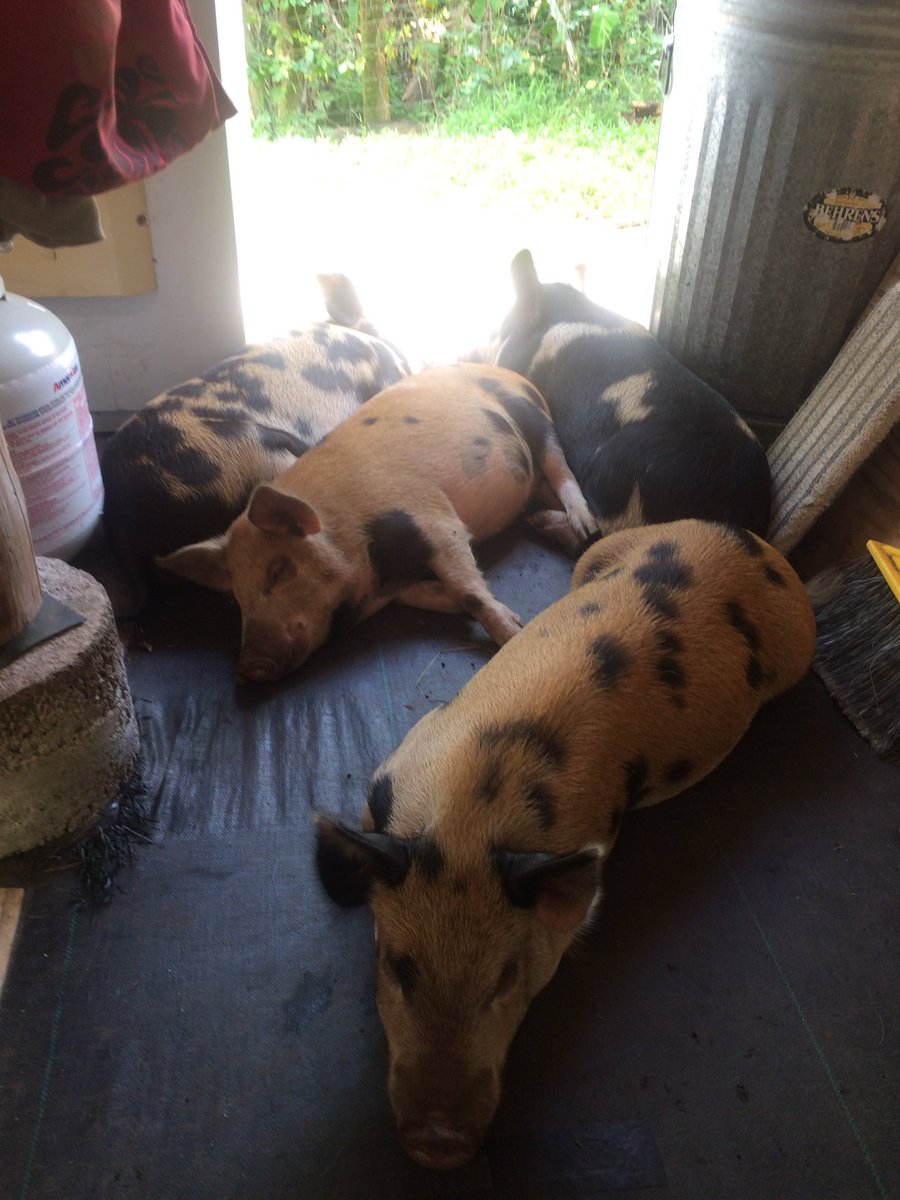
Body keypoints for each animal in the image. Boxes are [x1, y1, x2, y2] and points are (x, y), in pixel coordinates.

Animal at [156, 363, 598, 682]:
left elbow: (468, 588)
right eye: (237, 597)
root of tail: (511, 372)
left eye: (279, 570)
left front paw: (516, 632)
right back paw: (545, 522)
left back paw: (585, 525)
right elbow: (437, 595)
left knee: (560, 467)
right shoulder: (396, 583)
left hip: (530, 415)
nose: (249, 667)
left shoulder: (433, 518)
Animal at [315, 519, 816, 1169]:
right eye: (398, 967)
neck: (471, 821)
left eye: (505, 977)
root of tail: (747, 538)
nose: (437, 1143)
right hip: (600, 558)